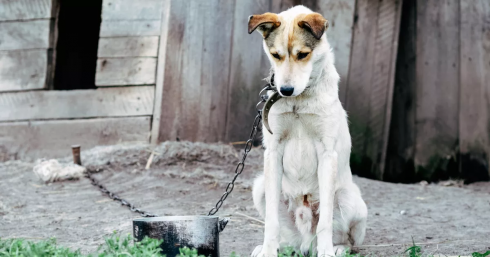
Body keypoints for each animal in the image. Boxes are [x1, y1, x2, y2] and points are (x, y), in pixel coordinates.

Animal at [249, 6, 368, 256]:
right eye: (276, 55)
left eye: (303, 54)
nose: (285, 90)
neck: (299, 101)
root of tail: (306, 243)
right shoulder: (272, 152)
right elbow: (271, 222)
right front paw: (268, 250)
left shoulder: (327, 153)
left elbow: (325, 222)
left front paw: (327, 251)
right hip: (260, 187)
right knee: (288, 238)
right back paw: (275, 248)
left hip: (349, 198)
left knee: (347, 239)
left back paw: (336, 248)